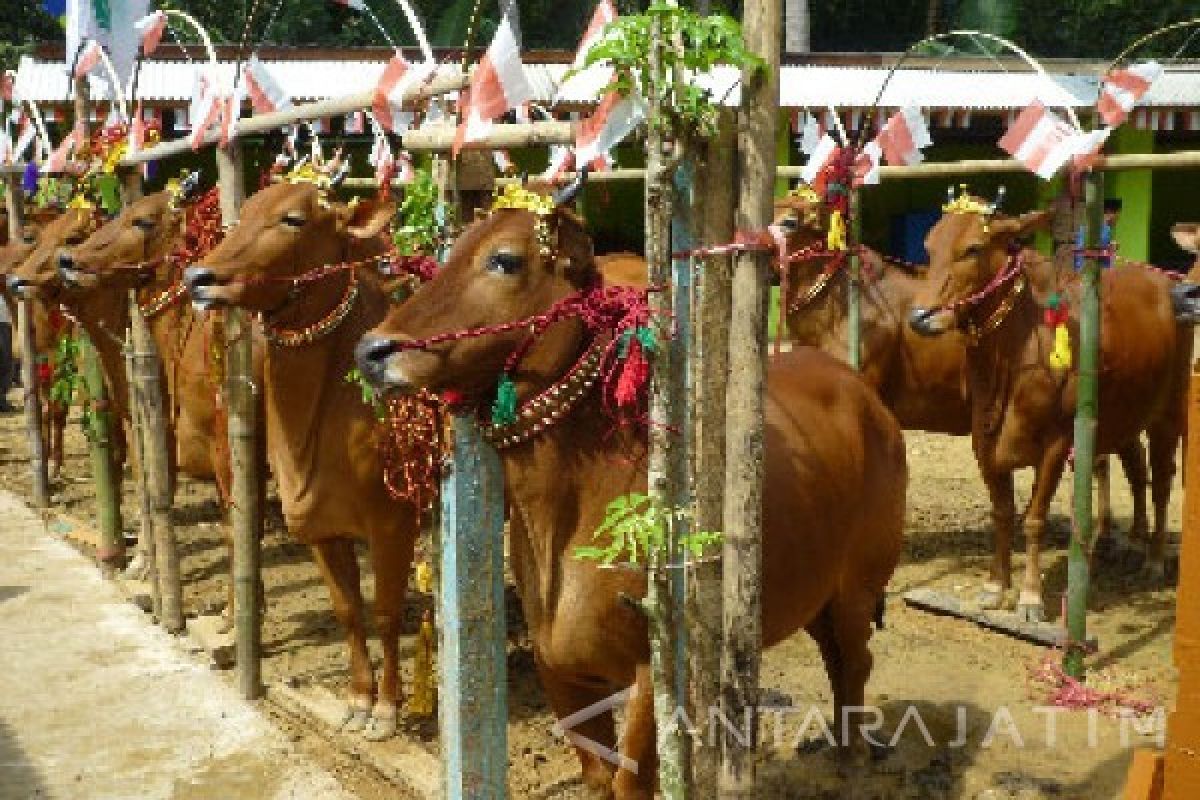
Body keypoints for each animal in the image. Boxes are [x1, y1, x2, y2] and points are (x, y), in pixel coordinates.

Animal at [182, 181, 417, 743]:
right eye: (242, 212)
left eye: (293, 218)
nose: (198, 278)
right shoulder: (320, 528)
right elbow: (348, 609)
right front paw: (358, 700)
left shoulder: (393, 522)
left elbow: (387, 611)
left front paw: (387, 709)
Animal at [350, 195, 902, 800]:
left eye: (505, 260)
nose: (372, 349)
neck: (568, 515)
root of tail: (862, 394)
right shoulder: (561, 672)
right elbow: (597, 778)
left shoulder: (652, 674)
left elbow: (631, 782)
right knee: (834, 657)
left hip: (858, 586)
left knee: (856, 662)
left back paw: (854, 758)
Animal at [912, 201, 1185, 618]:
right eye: (928, 246)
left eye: (973, 248)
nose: (921, 318)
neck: (1010, 354)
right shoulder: (983, 440)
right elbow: (1003, 514)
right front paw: (995, 586)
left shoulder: (1056, 443)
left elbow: (1034, 520)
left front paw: (1029, 597)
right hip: (1124, 417)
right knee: (1137, 471)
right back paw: (1128, 540)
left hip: (1167, 414)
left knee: (1162, 483)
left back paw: (1153, 560)